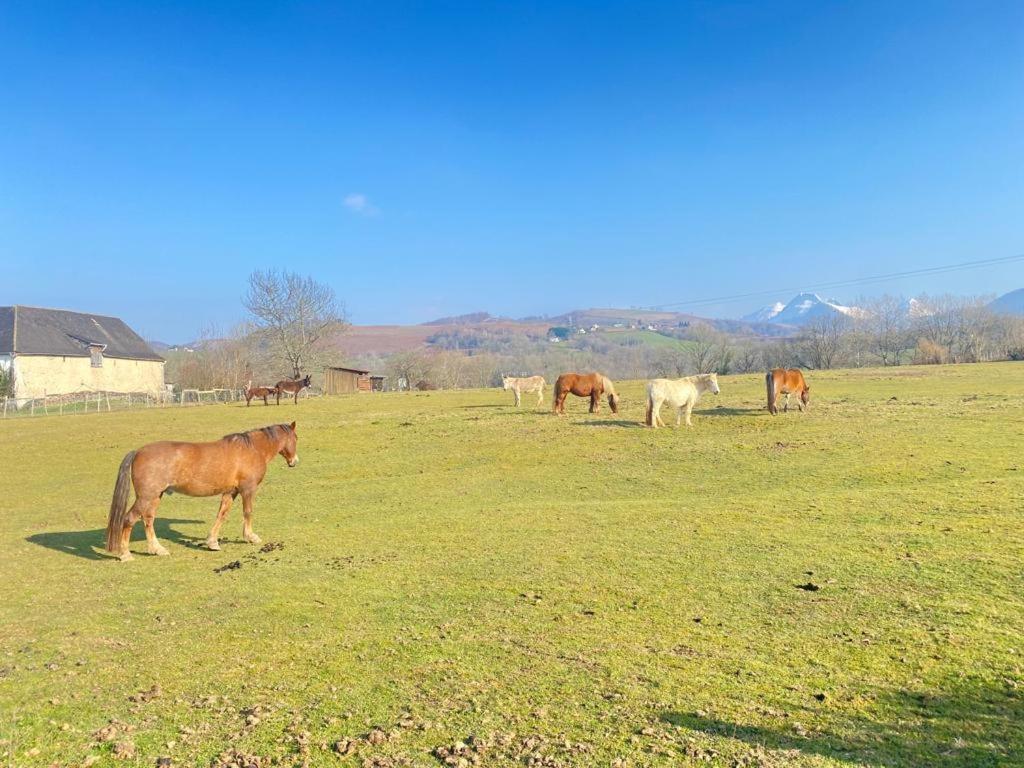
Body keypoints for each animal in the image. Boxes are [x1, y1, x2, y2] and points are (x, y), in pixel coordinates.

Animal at [105, 423, 299, 561]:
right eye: (296, 438)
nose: (294, 461)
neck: (252, 449)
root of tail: (138, 452)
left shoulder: (230, 492)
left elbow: (221, 515)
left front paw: (212, 542)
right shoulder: (248, 489)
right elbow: (248, 512)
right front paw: (251, 537)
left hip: (154, 496)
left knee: (148, 520)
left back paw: (157, 549)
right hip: (146, 497)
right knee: (129, 519)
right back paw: (125, 554)